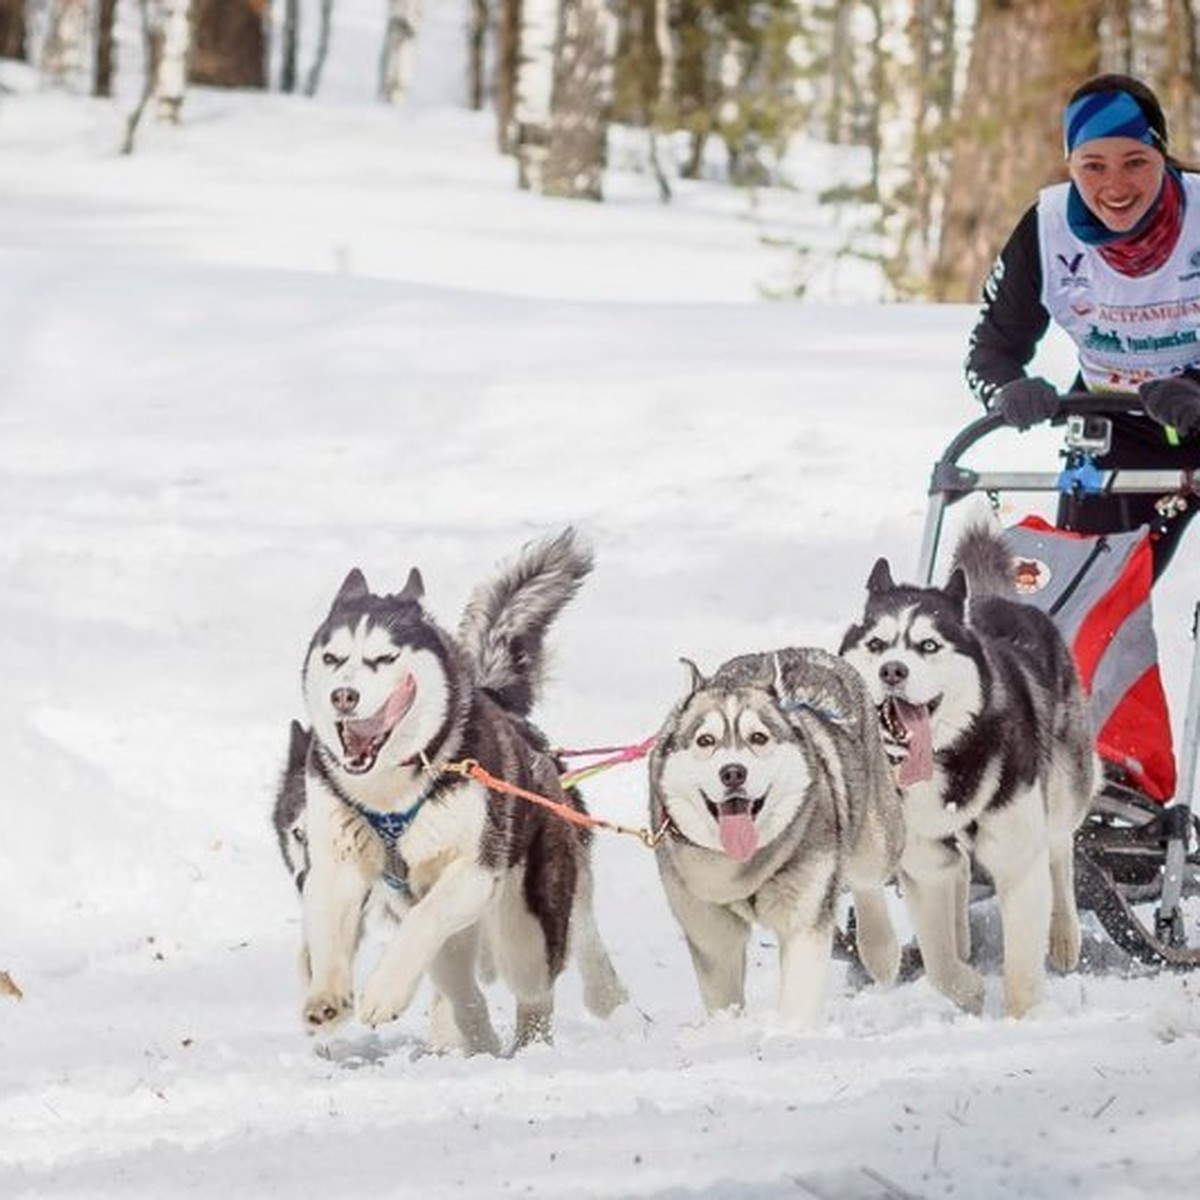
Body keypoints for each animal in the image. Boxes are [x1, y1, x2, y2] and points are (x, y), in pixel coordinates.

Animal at [286, 530, 628, 1056]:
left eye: (384, 658)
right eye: (332, 658)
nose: (343, 696)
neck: (391, 791)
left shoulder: (473, 871)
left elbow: (423, 923)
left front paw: (383, 991)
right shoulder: (335, 866)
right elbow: (327, 931)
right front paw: (326, 997)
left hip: (524, 923)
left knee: (533, 989)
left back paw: (526, 1046)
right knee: (460, 986)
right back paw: (477, 1036)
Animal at [648, 652, 902, 1027]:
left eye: (758, 737)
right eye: (705, 741)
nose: (733, 772)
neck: (743, 869)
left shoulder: (805, 915)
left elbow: (799, 994)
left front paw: (791, 1031)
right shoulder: (709, 927)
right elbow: (722, 987)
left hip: (876, 841)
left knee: (867, 882)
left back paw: (881, 951)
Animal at [844, 520, 1099, 1017]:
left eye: (928, 645)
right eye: (877, 645)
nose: (892, 670)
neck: (950, 759)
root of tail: (994, 599)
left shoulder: (1018, 857)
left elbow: (1021, 965)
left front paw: (1024, 1019)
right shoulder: (923, 859)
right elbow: (940, 965)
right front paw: (969, 989)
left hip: (1064, 787)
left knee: (1060, 848)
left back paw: (1063, 932)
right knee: (959, 876)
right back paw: (961, 940)